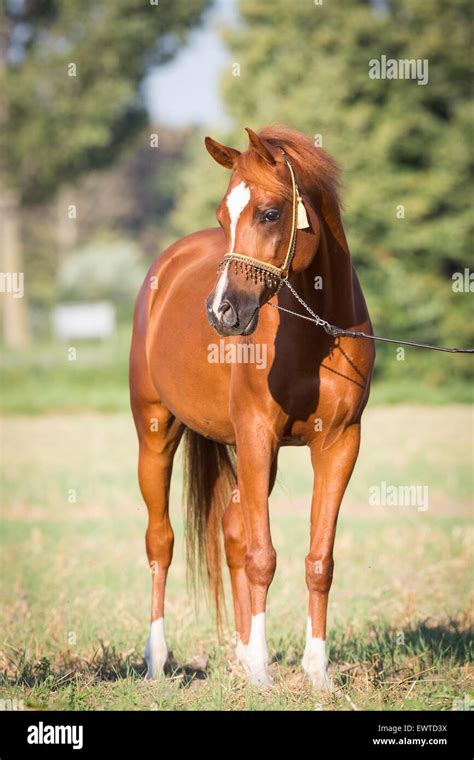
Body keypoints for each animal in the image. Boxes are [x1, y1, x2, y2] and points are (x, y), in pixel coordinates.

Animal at [129, 124, 374, 688]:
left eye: (269, 213)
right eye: (224, 216)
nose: (221, 311)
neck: (317, 332)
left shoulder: (339, 443)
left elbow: (318, 560)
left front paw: (317, 671)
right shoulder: (258, 434)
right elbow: (263, 557)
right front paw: (263, 671)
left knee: (232, 532)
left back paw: (240, 653)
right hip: (155, 431)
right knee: (161, 542)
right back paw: (157, 659)